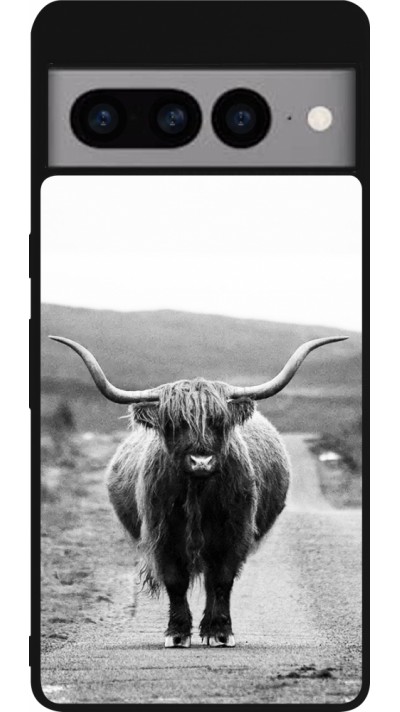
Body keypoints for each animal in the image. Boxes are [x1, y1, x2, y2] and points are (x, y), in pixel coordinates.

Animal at [50, 334, 347, 648]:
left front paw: (220, 631)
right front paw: (177, 632)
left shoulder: (234, 533)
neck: (198, 493)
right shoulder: (163, 535)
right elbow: (175, 581)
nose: (201, 461)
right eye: (174, 423)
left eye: (218, 421)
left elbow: (222, 580)